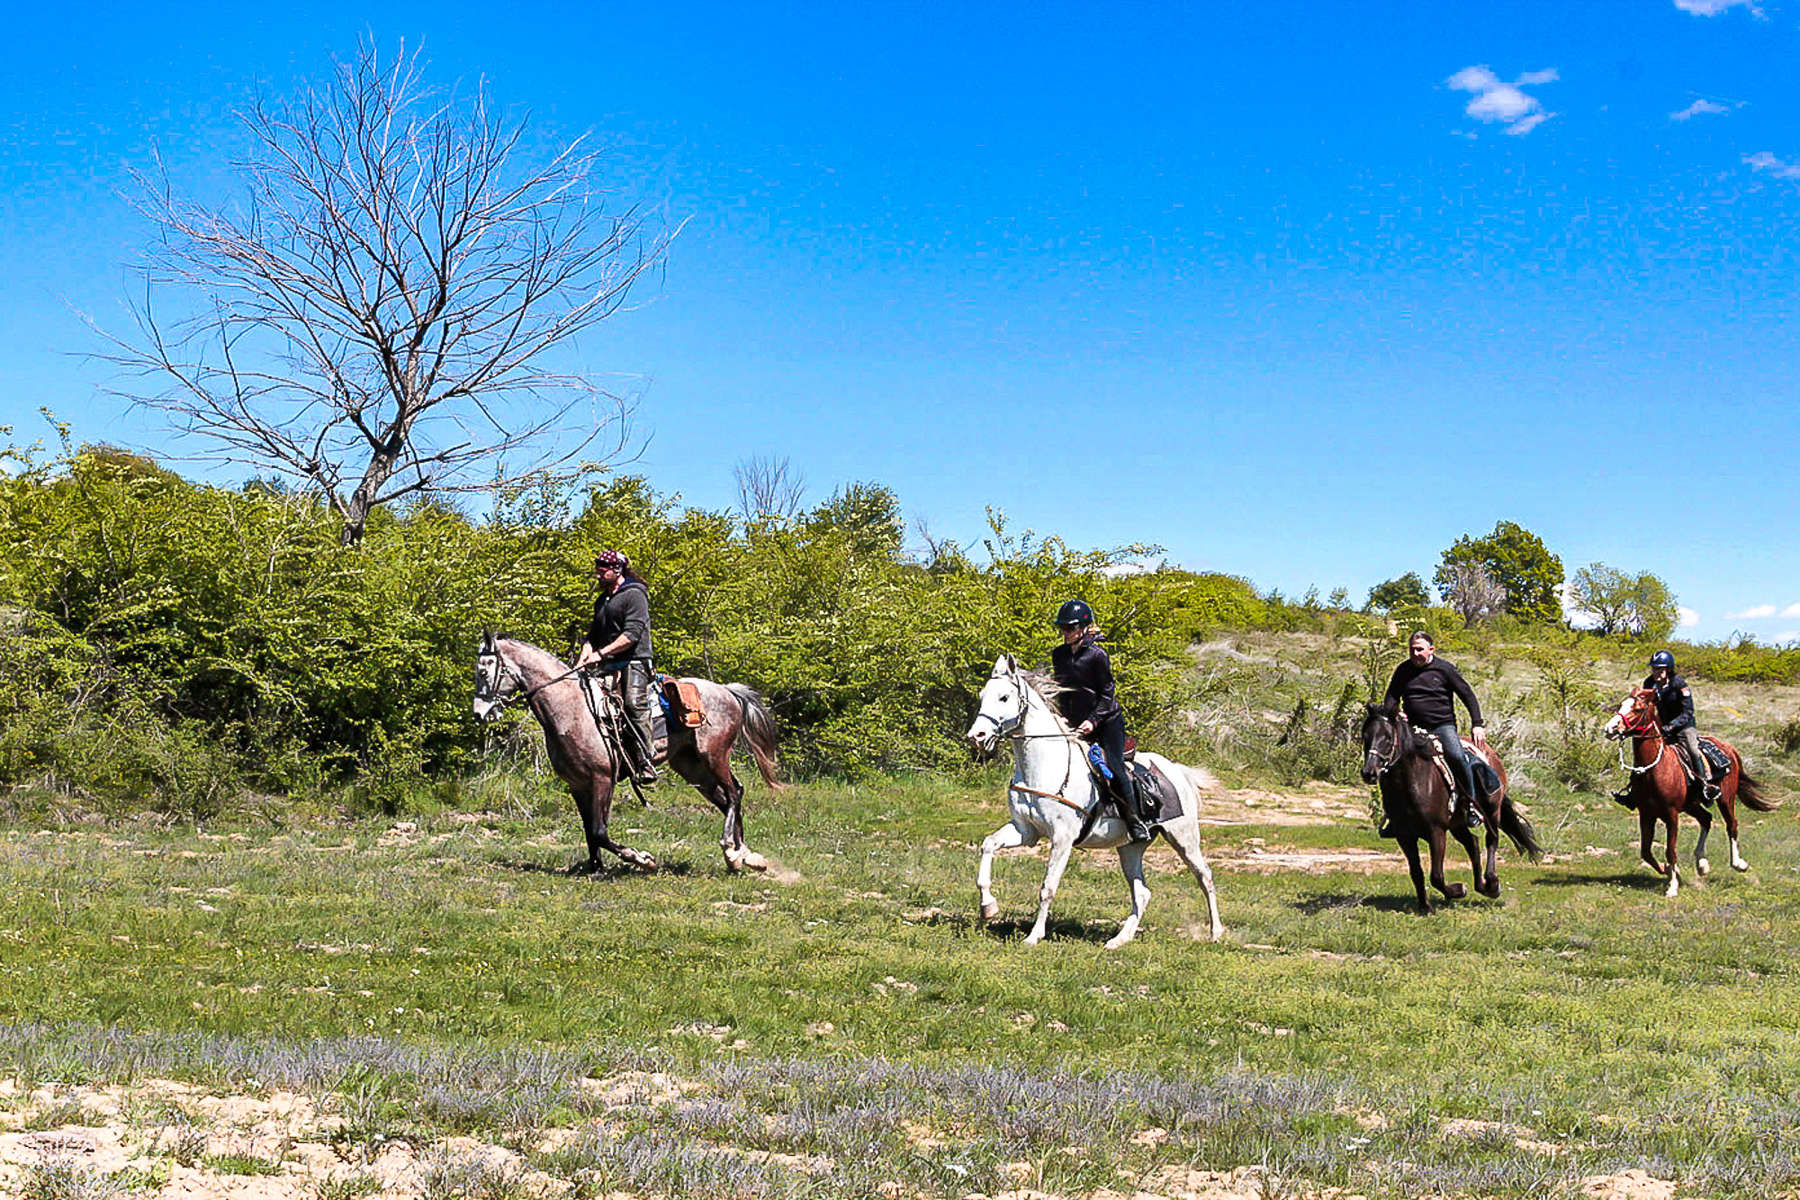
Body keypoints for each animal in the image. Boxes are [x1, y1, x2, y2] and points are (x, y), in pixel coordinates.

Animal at [475, 633, 784, 877]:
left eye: (484, 672)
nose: (479, 713)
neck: (571, 709)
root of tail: (728, 692)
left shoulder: (602, 779)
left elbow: (599, 830)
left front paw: (641, 859)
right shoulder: (577, 785)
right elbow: (589, 829)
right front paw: (596, 869)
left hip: (714, 756)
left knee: (733, 793)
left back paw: (732, 851)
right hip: (691, 766)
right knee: (727, 797)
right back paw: (743, 856)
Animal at [964, 651, 1231, 949]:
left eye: (1004, 697)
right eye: (983, 695)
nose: (976, 736)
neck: (1044, 766)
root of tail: (1176, 770)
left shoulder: (1062, 838)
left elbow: (1048, 887)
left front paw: (1034, 936)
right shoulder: (1026, 831)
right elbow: (988, 845)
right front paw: (988, 907)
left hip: (1184, 837)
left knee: (1204, 877)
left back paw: (1216, 932)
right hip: (1130, 847)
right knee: (1142, 893)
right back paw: (1119, 939)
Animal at [1353, 698, 1540, 913]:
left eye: (1388, 737)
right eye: (1365, 736)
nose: (1369, 772)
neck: (1411, 783)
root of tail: (1491, 754)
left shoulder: (1437, 831)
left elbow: (1436, 875)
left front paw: (1458, 890)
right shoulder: (1404, 836)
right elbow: (1416, 872)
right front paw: (1425, 906)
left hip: (1492, 811)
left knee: (1491, 839)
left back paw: (1492, 884)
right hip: (1457, 824)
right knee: (1473, 843)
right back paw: (1481, 886)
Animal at [1605, 690, 1771, 895]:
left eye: (1636, 709)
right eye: (1620, 705)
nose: (1610, 728)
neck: (1655, 769)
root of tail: (1728, 748)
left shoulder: (1671, 814)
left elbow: (1670, 850)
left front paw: (1672, 886)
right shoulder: (1646, 813)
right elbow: (1646, 851)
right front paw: (1670, 870)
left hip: (1725, 799)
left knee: (1731, 824)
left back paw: (1739, 864)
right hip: (1691, 805)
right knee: (1706, 819)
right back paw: (1702, 864)